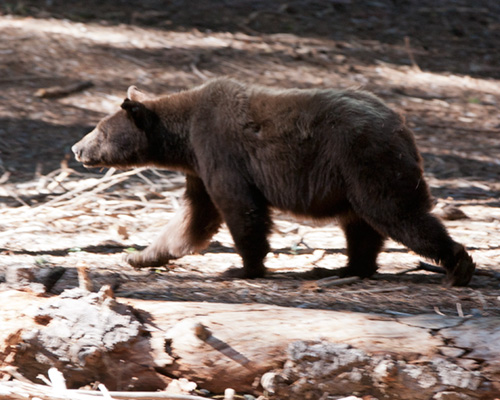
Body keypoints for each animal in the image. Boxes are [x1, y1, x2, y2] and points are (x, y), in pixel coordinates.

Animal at [72, 76, 474, 286]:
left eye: (100, 130)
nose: (76, 148)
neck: (183, 138)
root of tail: (402, 126)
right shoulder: (199, 167)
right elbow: (194, 217)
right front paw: (141, 255)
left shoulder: (220, 149)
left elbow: (239, 209)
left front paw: (243, 267)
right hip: (351, 176)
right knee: (360, 225)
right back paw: (346, 267)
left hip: (365, 160)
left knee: (397, 213)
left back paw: (459, 266)